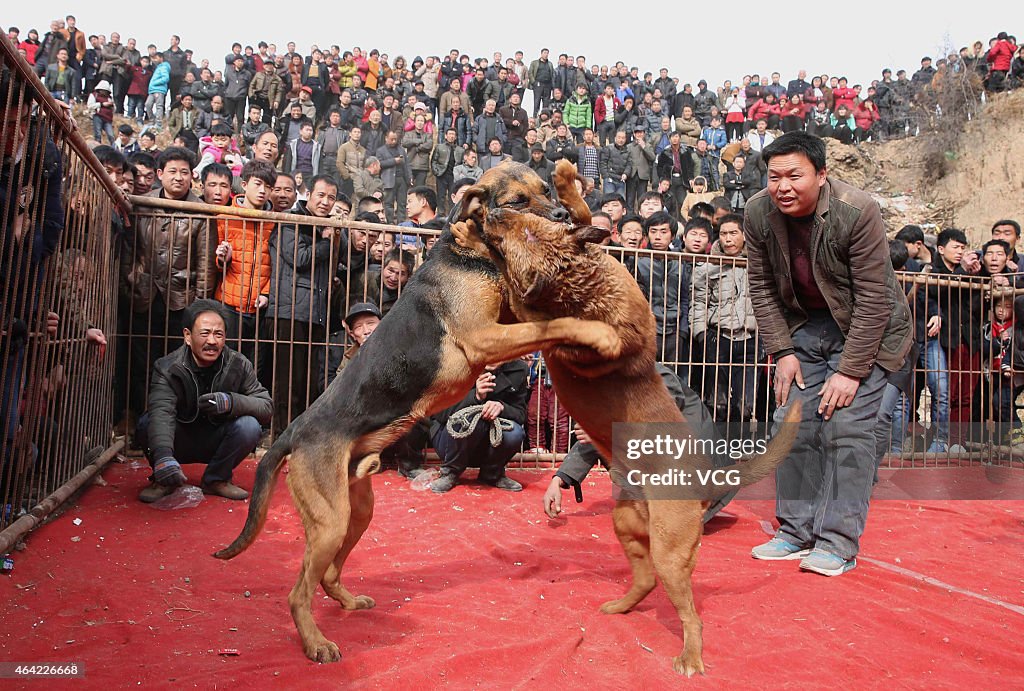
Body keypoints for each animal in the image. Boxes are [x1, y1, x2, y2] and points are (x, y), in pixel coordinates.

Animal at [211, 160, 618, 663]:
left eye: (546, 190)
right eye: (517, 202)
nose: (563, 216)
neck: (472, 251)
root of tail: (294, 432)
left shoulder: (510, 312)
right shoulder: (486, 336)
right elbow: (552, 325)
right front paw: (597, 331)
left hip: (356, 511)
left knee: (327, 575)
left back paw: (348, 602)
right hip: (329, 521)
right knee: (297, 592)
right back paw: (316, 644)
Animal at [456, 160, 798, 675]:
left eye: (527, 230)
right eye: (523, 215)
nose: (490, 214)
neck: (581, 288)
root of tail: (706, 475)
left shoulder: (539, 311)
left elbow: (544, 293)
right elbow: (584, 217)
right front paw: (561, 182)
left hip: (671, 549)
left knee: (689, 611)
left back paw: (690, 657)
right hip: (628, 527)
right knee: (645, 580)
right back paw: (620, 606)